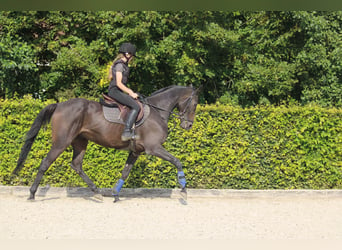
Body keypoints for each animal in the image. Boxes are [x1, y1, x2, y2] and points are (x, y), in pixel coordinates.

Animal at [13, 85, 200, 202]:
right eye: (195, 103)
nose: (188, 125)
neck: (156, 111)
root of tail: (59, 105)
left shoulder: (136, 151)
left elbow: (125, 172)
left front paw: (115, 194)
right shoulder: (153, 148)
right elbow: (177, 161)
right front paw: (183, 189)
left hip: (80, 142)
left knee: (76, 165)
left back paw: (97, 192)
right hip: (61, 142)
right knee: (46, 163)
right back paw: (32, 194)